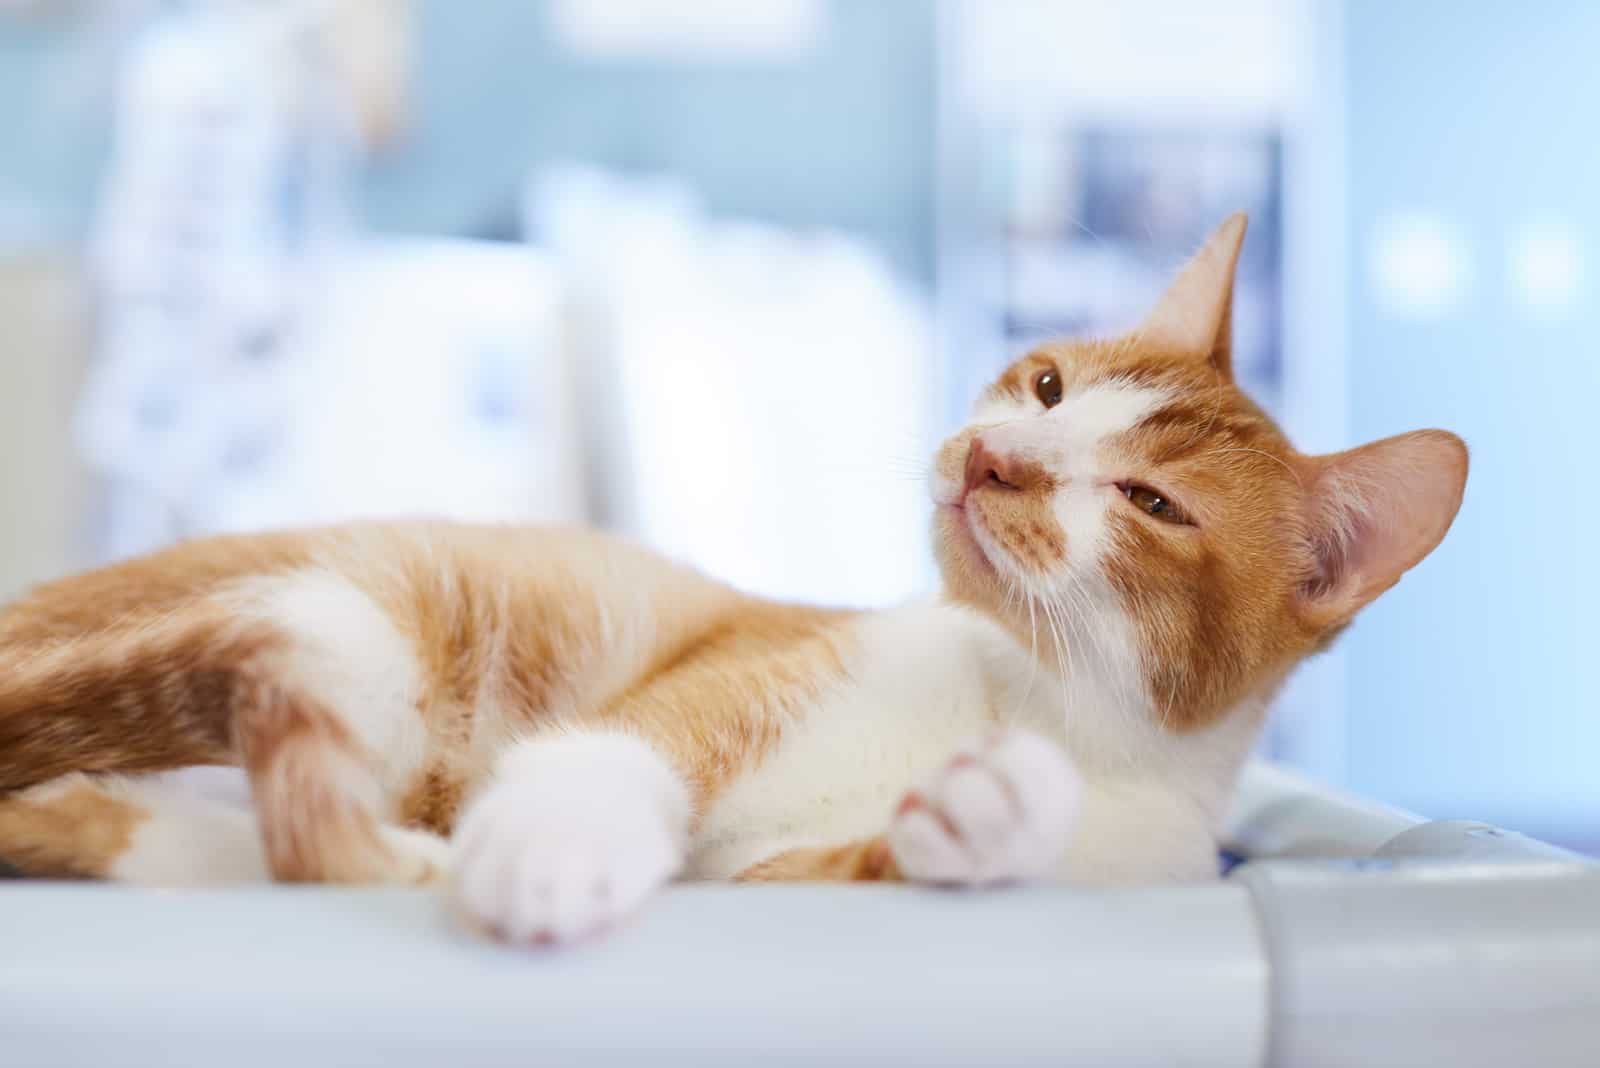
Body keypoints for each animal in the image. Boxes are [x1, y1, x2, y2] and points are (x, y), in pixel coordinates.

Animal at [0, 214, 1465, 940]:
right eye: (1048, 386)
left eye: (1152, 502)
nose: (995, 456)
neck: (1037, 703)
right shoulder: (731, 683)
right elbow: (629, 752)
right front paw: (554, 840)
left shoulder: (770, 885)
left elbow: (873, 866)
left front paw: (990, 818)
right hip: (355, 628)